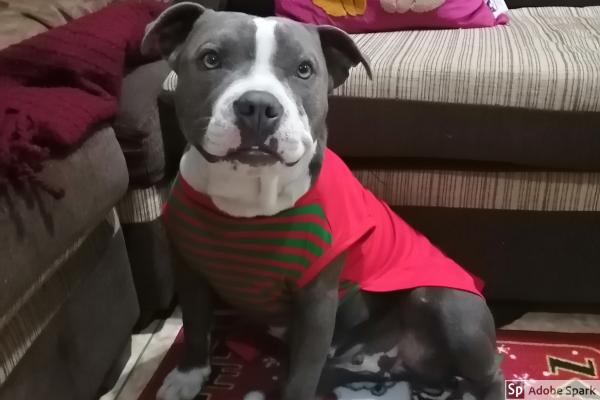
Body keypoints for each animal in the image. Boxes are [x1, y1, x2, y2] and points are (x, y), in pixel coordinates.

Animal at [141, 2, 504, 399]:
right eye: (210, 59)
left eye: (304, 69)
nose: (258, 105)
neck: (249, 198)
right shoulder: (190, 271)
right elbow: (194, 325)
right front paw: (189, 374)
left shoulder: (316, 299)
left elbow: (302, 375)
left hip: (446, 301)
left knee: (490, 374)